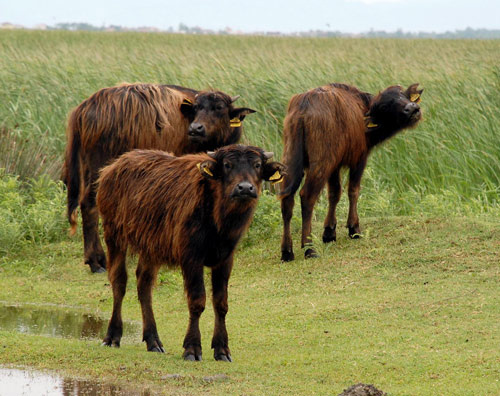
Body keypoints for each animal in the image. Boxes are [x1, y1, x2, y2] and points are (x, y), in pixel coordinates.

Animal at [64, 83, 256, 272]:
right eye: (197, 107)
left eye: (219, 108)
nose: (195, 129)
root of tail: (85, 108)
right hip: (99, 166)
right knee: (89, 203)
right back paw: (96, 261)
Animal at [97, 144, 286, 360]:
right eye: (227, 165)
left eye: (257, 165)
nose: (245, 188)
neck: (218, 220)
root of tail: (111, 169)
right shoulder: (191, 257)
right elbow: (197, 301)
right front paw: (192, 348)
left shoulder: (225, 259)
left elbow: (221, 303)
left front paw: (222, 349)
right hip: (113, 234)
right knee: (119, 282)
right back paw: (113, 336)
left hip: (150, 247)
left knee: (144, 285)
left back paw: (153, 341)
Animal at [280, 82, 424, 262]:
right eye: (385, 106)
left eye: (403, 95)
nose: (412, 108)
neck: (362, 111)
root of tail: (304, 106)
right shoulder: (359, 159)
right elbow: (353, 191)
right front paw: (354, 229)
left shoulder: (335, 166)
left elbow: (334, 193)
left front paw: (329, 232)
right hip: (321, 162)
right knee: (307, 196)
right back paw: (309, 248)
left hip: (291, 159)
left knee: (287, 198)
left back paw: (287, 251)